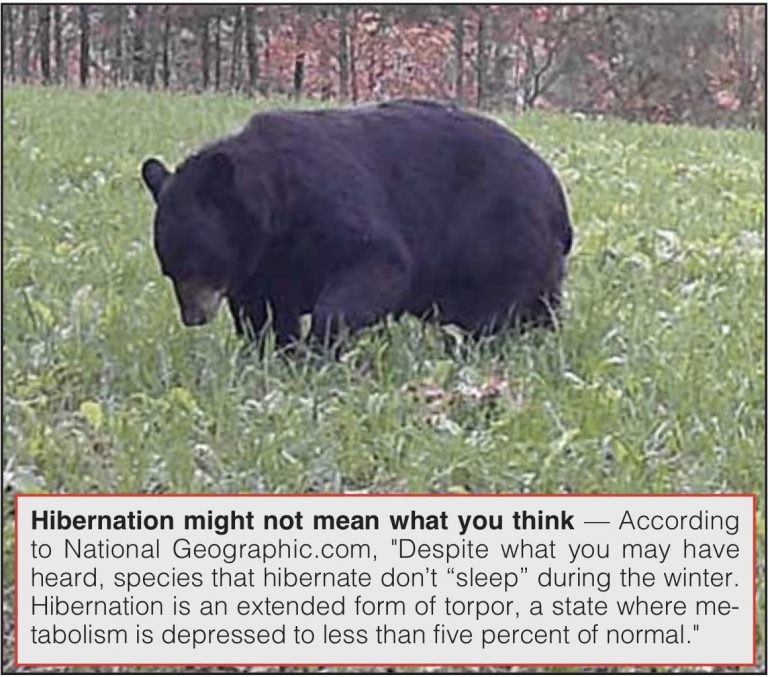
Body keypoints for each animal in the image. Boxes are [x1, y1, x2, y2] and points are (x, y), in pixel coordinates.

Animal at [141, 99, 572, 348]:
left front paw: (319, 345)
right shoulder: (261, 261)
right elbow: (259, 309)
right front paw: (274, 353)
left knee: (501, 304)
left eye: (198, 264)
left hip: (501, 234)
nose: (193, 317)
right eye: (169, 270)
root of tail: (555, 190)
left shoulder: (328, 204)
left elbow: (378, 261)